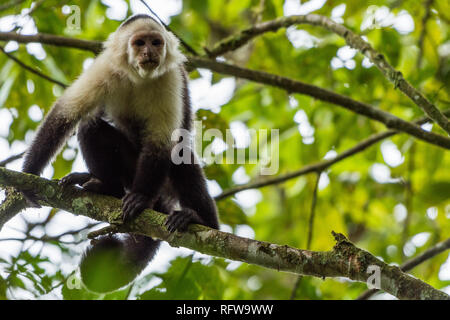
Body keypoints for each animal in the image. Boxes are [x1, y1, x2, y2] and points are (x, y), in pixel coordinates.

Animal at [22, 15, 219, 292]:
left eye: (156, 42)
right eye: (139, 43)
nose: (149, 53)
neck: (139, 77)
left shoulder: (169, 79)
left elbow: (162, 143)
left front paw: (140, 198)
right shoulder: (105, 68)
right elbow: (66, 113)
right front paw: (29, 173)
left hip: (161, 185)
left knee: (181, 155)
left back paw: (200, 219)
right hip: (129, 171)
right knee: (90, 124)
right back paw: (106, 186)